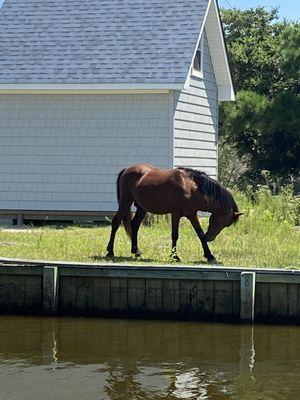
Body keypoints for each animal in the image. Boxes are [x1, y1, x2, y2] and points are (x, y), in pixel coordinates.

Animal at [106, 162, 243, 262]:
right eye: (219, 221)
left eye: (226, 225)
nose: (209, 238)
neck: (191, 187)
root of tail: (127, 170)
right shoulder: (175, 214)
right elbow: (175, 235)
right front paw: (175, 257)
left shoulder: (192, 215)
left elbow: (199, 233)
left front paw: (210, 256)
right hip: (125, 202)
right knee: (116, 222)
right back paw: (110, 251)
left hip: (142, 208)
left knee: (134, 225)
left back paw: (136, 251)